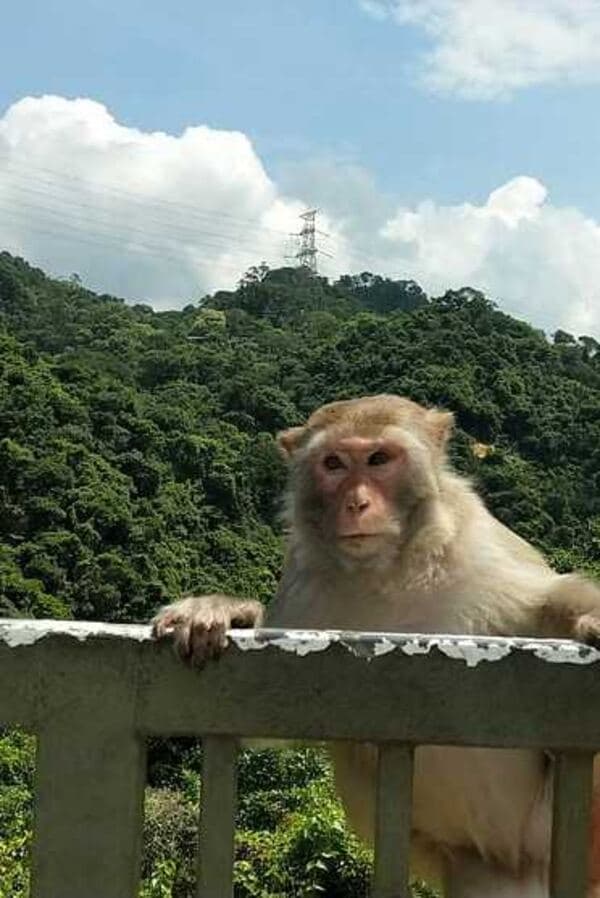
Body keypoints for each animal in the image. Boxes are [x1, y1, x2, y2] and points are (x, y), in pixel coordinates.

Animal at [152, 394, 600, 897]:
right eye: (333, 464)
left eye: (379, 459)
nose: (356, 503)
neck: (389, 574)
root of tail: (517, 862)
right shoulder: (305, 587)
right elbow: (265, 725)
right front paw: (224, 612)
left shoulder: (480, 546)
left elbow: (547, 604)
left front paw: (590, 618)